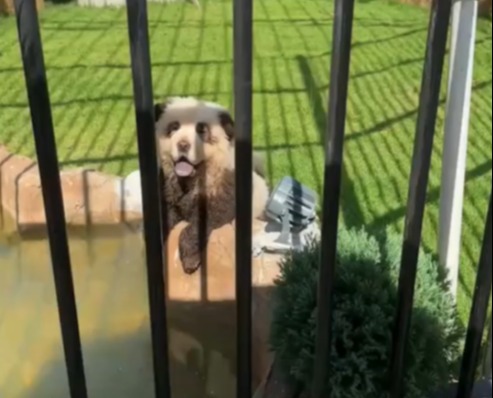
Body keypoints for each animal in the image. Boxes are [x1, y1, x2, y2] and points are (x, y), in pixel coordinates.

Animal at [155, 97, 268, 274]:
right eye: (174, 127)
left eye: (201, 130)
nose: (183, 145)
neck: (190, 179)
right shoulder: (167, 189)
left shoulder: (222, 190)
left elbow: (199, 223)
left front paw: (190, 260)